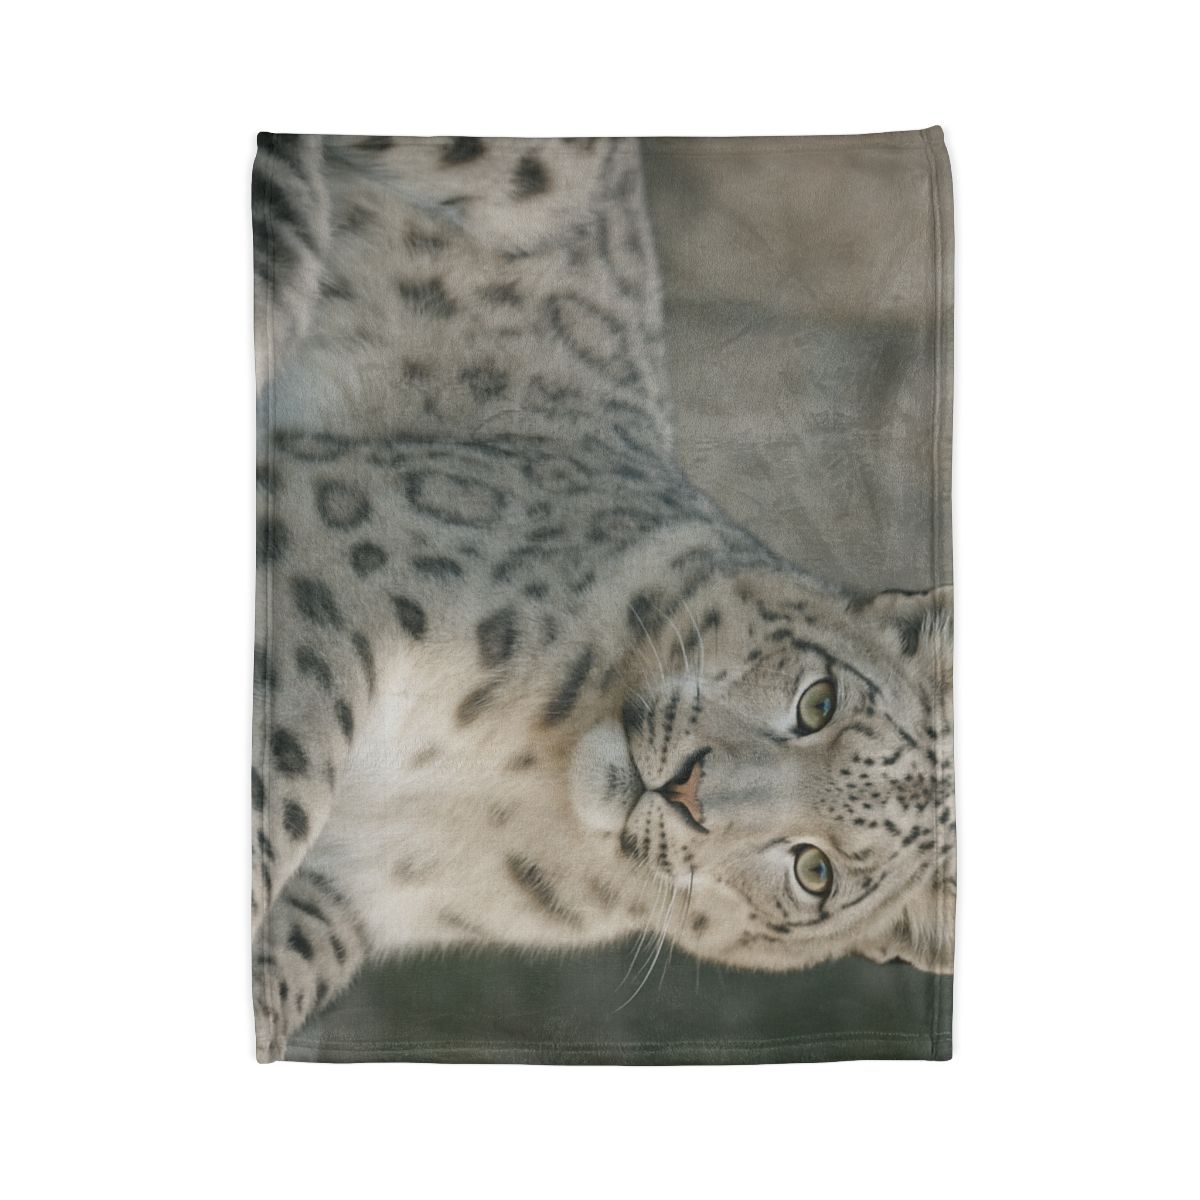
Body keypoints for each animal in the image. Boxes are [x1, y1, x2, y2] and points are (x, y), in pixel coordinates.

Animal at [251, 135, 955, 1062]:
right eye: (820, 700)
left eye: (816, 872)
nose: (688, 789)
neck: (502, 794)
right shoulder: (352, 552)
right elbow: (280, 780)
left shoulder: (356, 895)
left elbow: (283, 963)